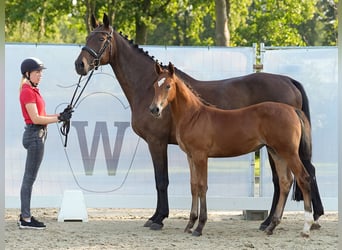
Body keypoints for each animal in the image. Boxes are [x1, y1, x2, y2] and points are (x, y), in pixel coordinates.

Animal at [151, 62, 314, 236]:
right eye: (154, 85)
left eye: (168, 86)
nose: (154, 109)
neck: (194, 116)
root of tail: (292, 110)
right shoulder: (190, 156)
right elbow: (194, 186)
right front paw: (190, 225)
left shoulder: (201, 155)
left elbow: (202, 186)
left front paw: (200, 226)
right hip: (276, 152)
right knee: (285, 182)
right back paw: (271, 226)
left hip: (289, 152)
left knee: (303, 178)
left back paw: (306, 227)